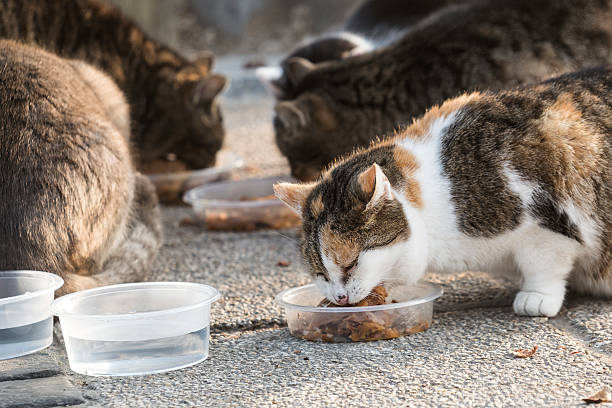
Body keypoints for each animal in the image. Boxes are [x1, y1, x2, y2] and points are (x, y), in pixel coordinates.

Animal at [276, 66, 612, 316]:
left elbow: (545, 263)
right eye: (319, 272)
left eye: (351, 263)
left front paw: (537, 297)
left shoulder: (544, 222)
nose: (340, 297)